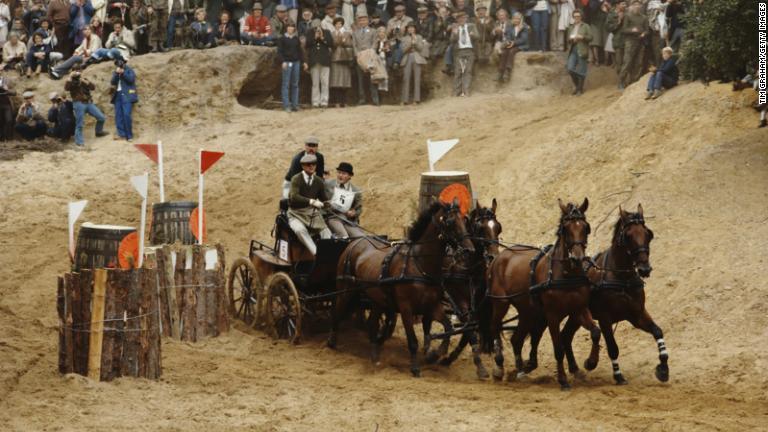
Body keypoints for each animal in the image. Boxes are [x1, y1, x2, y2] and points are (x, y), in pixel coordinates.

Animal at [328, 201, 476, 376]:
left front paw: (434, 355)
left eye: (465, 220)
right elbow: (413, 341)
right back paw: (332, 342)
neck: (419, 265)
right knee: (337, 312)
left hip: (376, 299)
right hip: (345, 291)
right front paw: (415, 367)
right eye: (450, 221)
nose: (469, 250)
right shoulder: (406, 308)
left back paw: (374, 355)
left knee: (372, 324)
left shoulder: (432, 306)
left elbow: (448, 328)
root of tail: (354, 242)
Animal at [432, 199, 504, 378]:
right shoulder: (459, 302)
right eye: (480, 228)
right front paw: (481, 367)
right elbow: (470, 331)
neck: (469, 268)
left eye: (498, 227)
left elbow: (481, 327)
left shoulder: (481, 304)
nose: (493, 257)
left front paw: (499, 363)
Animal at [480, 199, 600, 392]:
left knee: (516, 339)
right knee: (494, 327)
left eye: (585, 227)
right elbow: (558, 348)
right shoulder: (552, 315)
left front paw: (590, 362)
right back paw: (499, 368)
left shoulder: (579, 309)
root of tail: (498, 258)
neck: (567, 274)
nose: (577, 258)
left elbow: (595, 332)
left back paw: (520, 371)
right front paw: (563, 380)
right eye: (566, 228)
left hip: (527, 311)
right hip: (501, 303)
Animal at [556, 206, 668, 384]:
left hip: (576, 315)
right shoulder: (605, 318)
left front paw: (663, 369)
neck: (622, 278)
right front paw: (617, 374)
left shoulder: (636, 314)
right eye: (628, 236)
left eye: (648, 234)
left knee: (566, 336)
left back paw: (575, 369)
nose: (644, 269)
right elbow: (613, 347)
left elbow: (657, 331)